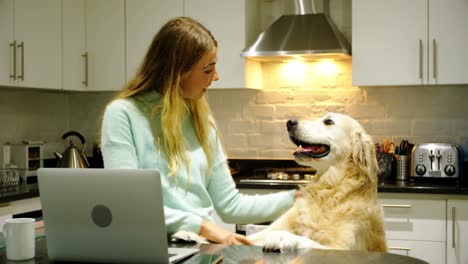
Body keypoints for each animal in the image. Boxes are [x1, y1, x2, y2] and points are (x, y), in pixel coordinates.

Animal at [249, 112, 388, 253]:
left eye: (328, 122)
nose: (290, 122)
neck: (329, 189)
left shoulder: (340, 247)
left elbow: (308, 241)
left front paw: (283, 238)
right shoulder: (270, 229)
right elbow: (252, 237)